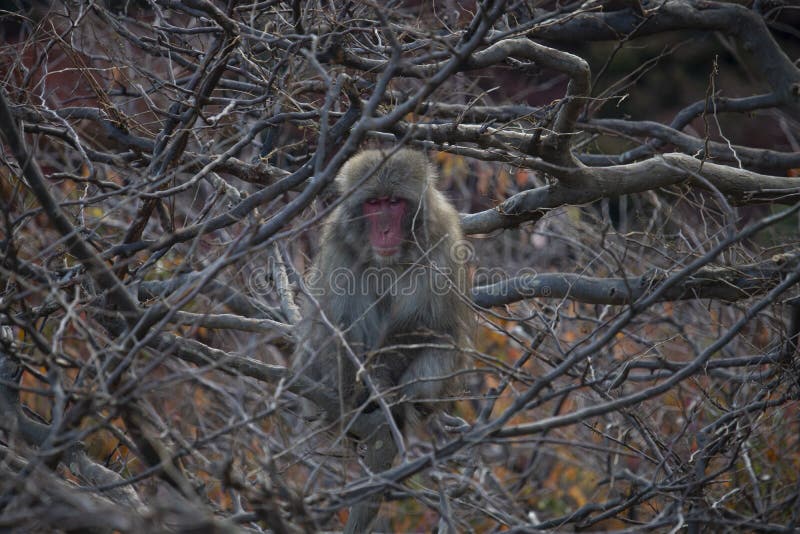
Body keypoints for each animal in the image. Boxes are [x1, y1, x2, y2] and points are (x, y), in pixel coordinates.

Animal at [290, 149, 472, 532]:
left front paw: (382, 388)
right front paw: (354, 393)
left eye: (394, 203)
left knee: (442, 344)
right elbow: (336, 323)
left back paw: (402, 408)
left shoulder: (441, 239)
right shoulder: (339, 244)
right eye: (374, 203)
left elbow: (423, 324)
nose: (385, 230)